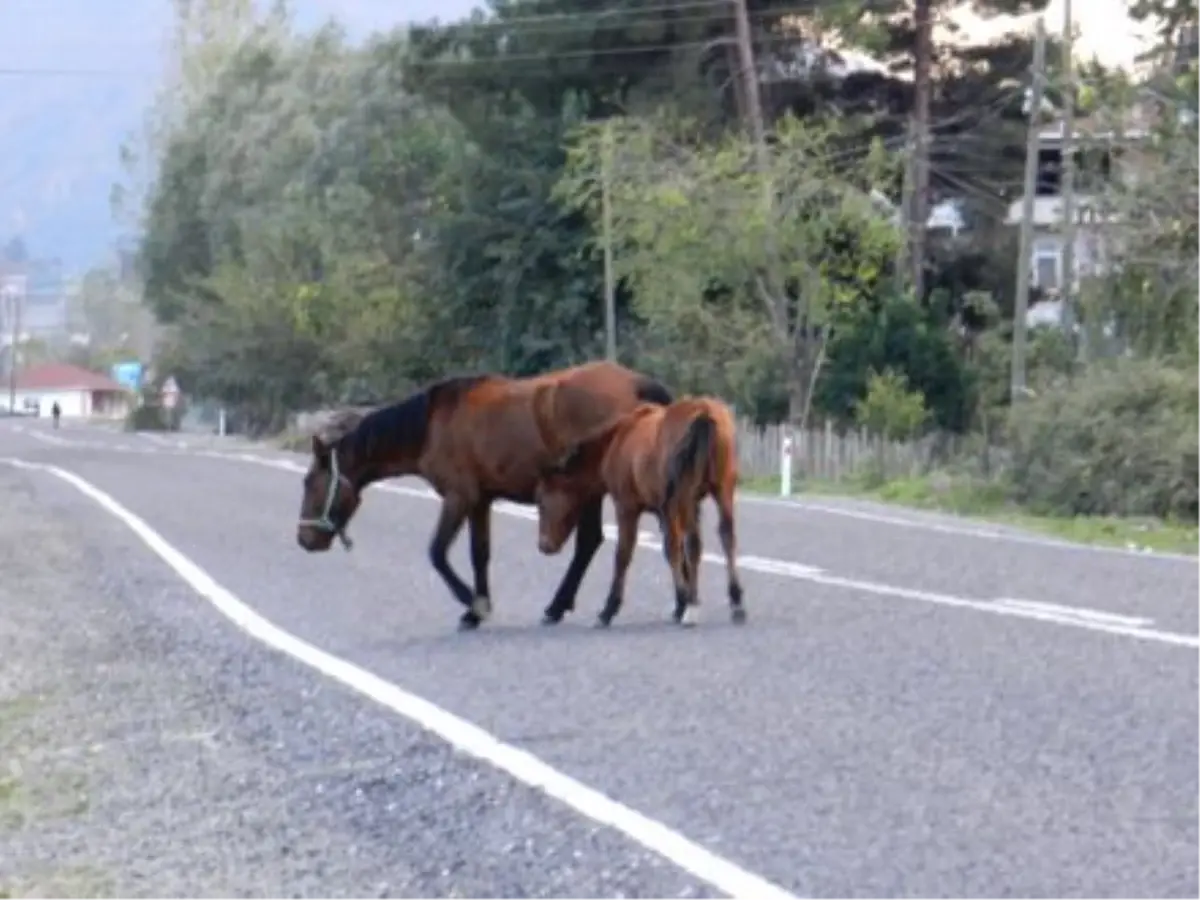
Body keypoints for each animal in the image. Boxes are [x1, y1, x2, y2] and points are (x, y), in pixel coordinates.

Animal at [294, 362, 676, 628]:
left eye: (311, 483)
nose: (304, 539)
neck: (432, 425)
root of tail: (636, 383)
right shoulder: (480, 500)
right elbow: (479, 554)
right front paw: (476, 608)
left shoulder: (458, 497)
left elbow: (437, 552)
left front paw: (473, 604)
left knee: (590, 543)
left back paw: (561, 606)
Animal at [532, 398, 744, 628]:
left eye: (541, 501)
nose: (544, 545)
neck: (617, 440)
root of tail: (704, 412)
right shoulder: (669, 509)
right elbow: (672, 550)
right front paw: (681, 603)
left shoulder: (630, 507)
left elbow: (627, 554)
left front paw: (609, 609)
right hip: (723, 489)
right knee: (727, 536)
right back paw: (736, 602)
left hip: (684, 497)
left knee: (694, 543)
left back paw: (692, 609)